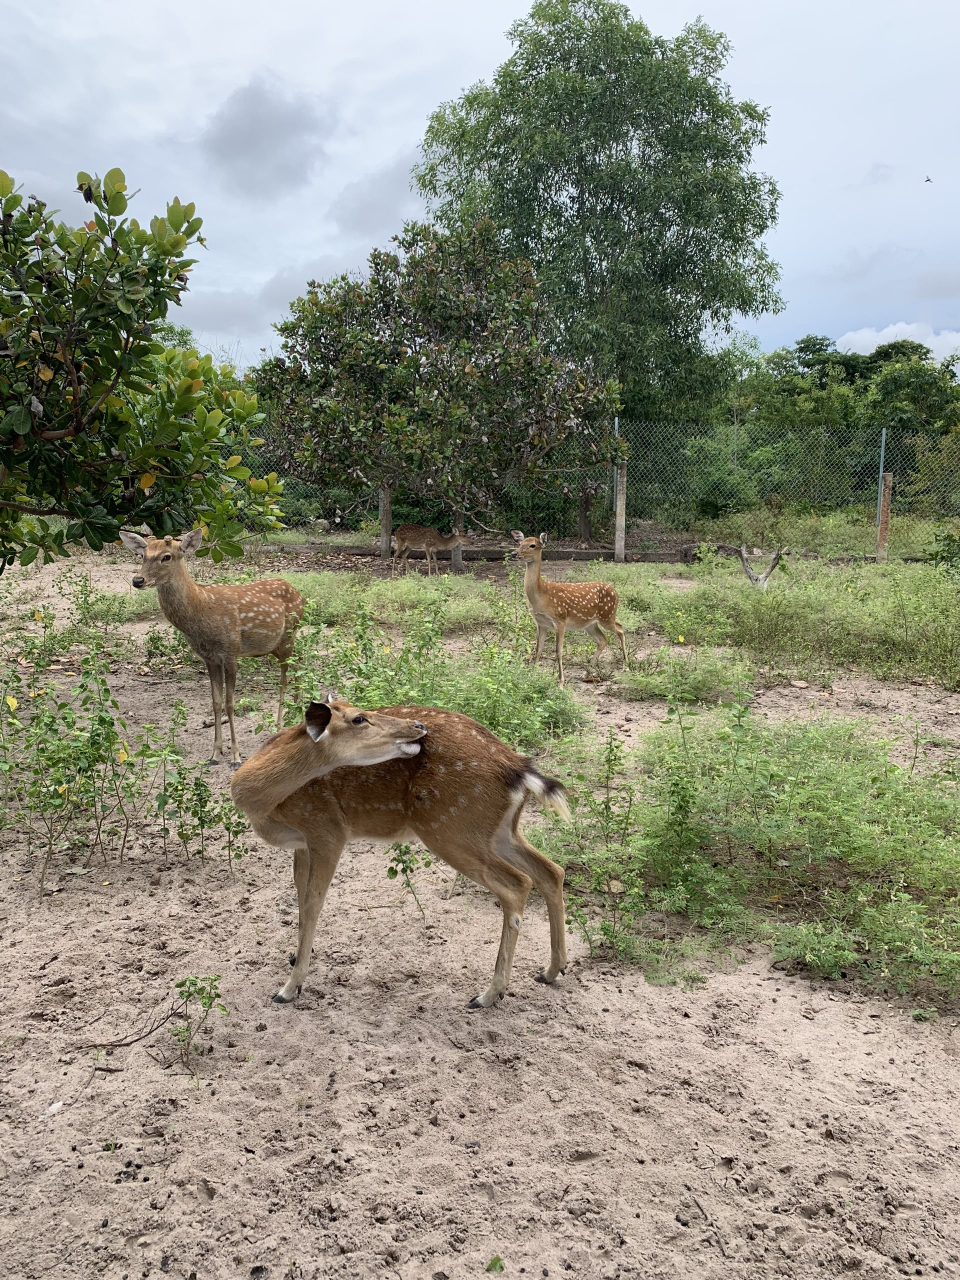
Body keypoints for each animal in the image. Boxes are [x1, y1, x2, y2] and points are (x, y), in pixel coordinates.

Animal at [119, 529, 305, 767]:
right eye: (143, 555)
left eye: (166, 556)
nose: (138, 580)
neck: (203, 609)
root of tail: (301, 596)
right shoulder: (209, 658)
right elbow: (216, 702)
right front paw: (215, 754)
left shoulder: (231, 651)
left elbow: (230, 703)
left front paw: (236, 756)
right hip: (275, 645)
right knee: (297, 666)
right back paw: (294, 717)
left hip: (289, 634)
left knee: (286, 676)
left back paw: (283, 723)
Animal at [230, 693, 570, 1009]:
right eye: (358, 717)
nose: (417, 726)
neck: (262, 804)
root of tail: (518, 768)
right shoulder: (301, 844)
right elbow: (300, 896)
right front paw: (295, 957)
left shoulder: (326, 829)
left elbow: (314, 902)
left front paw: (290, 987)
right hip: (497, 830)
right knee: (551, 870)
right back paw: (551, 970)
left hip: (448, 826)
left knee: (517, 884)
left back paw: (488, 994)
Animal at [510, 531, 628, 687]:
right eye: (519, 543)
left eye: (532, 545)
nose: (513, 553)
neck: (542, 596)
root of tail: (616, 592)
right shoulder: (541, 623)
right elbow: (538, 650)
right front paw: (531, 676)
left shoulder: (560, 619)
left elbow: (558, 651)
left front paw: (560, 682)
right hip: (590, 624)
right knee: (602, 640)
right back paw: (586, 673)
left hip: (607, 615)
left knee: (620, 629)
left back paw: (626, 665)